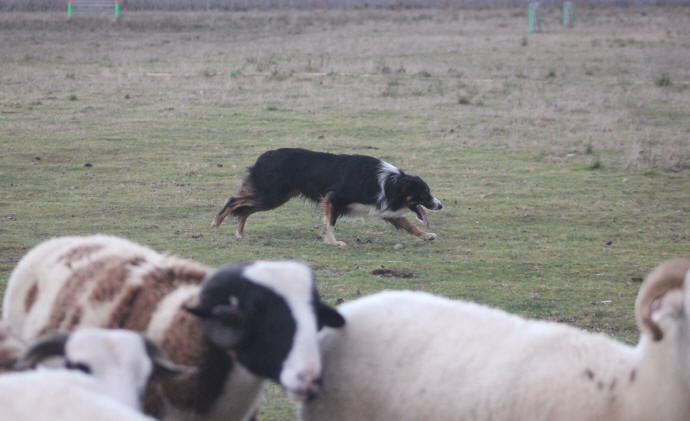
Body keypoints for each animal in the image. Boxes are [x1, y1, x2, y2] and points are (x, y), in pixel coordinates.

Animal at [212, 148, 444, 246]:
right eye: (424, 193)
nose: (440, 205)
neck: (391, 182)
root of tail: (263, 156)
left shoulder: (379, 207)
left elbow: (407, 224)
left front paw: (426, 235)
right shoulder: (333, 198)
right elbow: (329, 222)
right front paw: (333, 242)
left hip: (275, 196)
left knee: (245, 210)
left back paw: (240, 233)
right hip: (270, 194)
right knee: (235, 201)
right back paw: (217, 222)